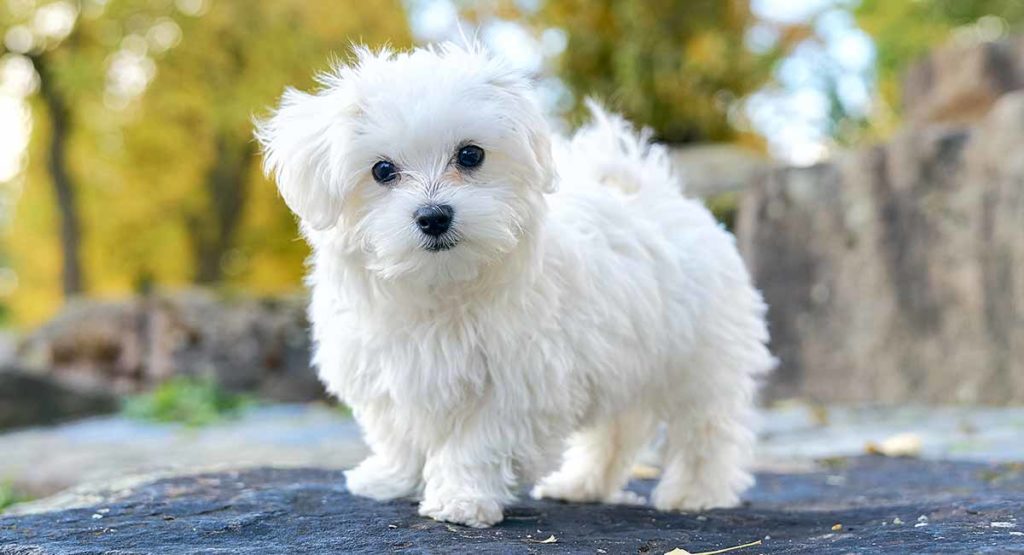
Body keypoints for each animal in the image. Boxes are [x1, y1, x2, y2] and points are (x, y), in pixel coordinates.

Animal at [253, 41, 770, 528]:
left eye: (470, 155)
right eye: (382, 170)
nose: (434, 216)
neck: (440, 286)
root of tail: (661, 195)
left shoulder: (517, 383)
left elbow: (476, 443)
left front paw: (460, 499)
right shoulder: (386, 369)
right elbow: (397, 432)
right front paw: (390, 478)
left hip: (699, 360)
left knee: (706, 429)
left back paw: (694, 493)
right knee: (615, 433)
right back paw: (581, 485)